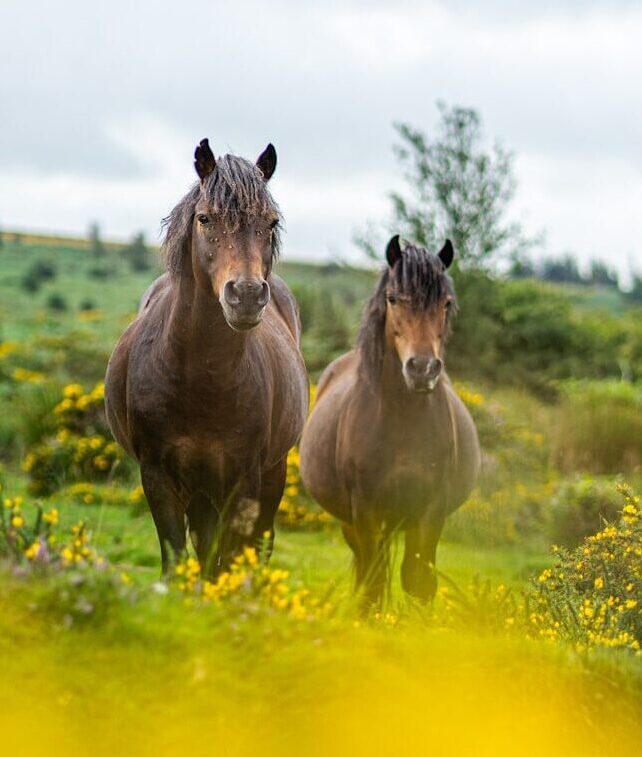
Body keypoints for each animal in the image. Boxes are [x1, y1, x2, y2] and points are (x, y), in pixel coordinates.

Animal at [105, 138, 308, 576]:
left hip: (271, 474)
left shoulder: (244, 480)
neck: (201, 377)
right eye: (204, 218)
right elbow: (177, 560)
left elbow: (227, 561)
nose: (246, 295)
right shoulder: (157, 477)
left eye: (271, 222)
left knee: (257, 545)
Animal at [300, 235, 480, 608]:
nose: (422, 369)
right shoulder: (365, 511)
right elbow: (373, 585)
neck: (402, 420)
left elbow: (418, 583)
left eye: (446, 303)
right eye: (393, 298)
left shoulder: (430, 512)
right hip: (354, 523)